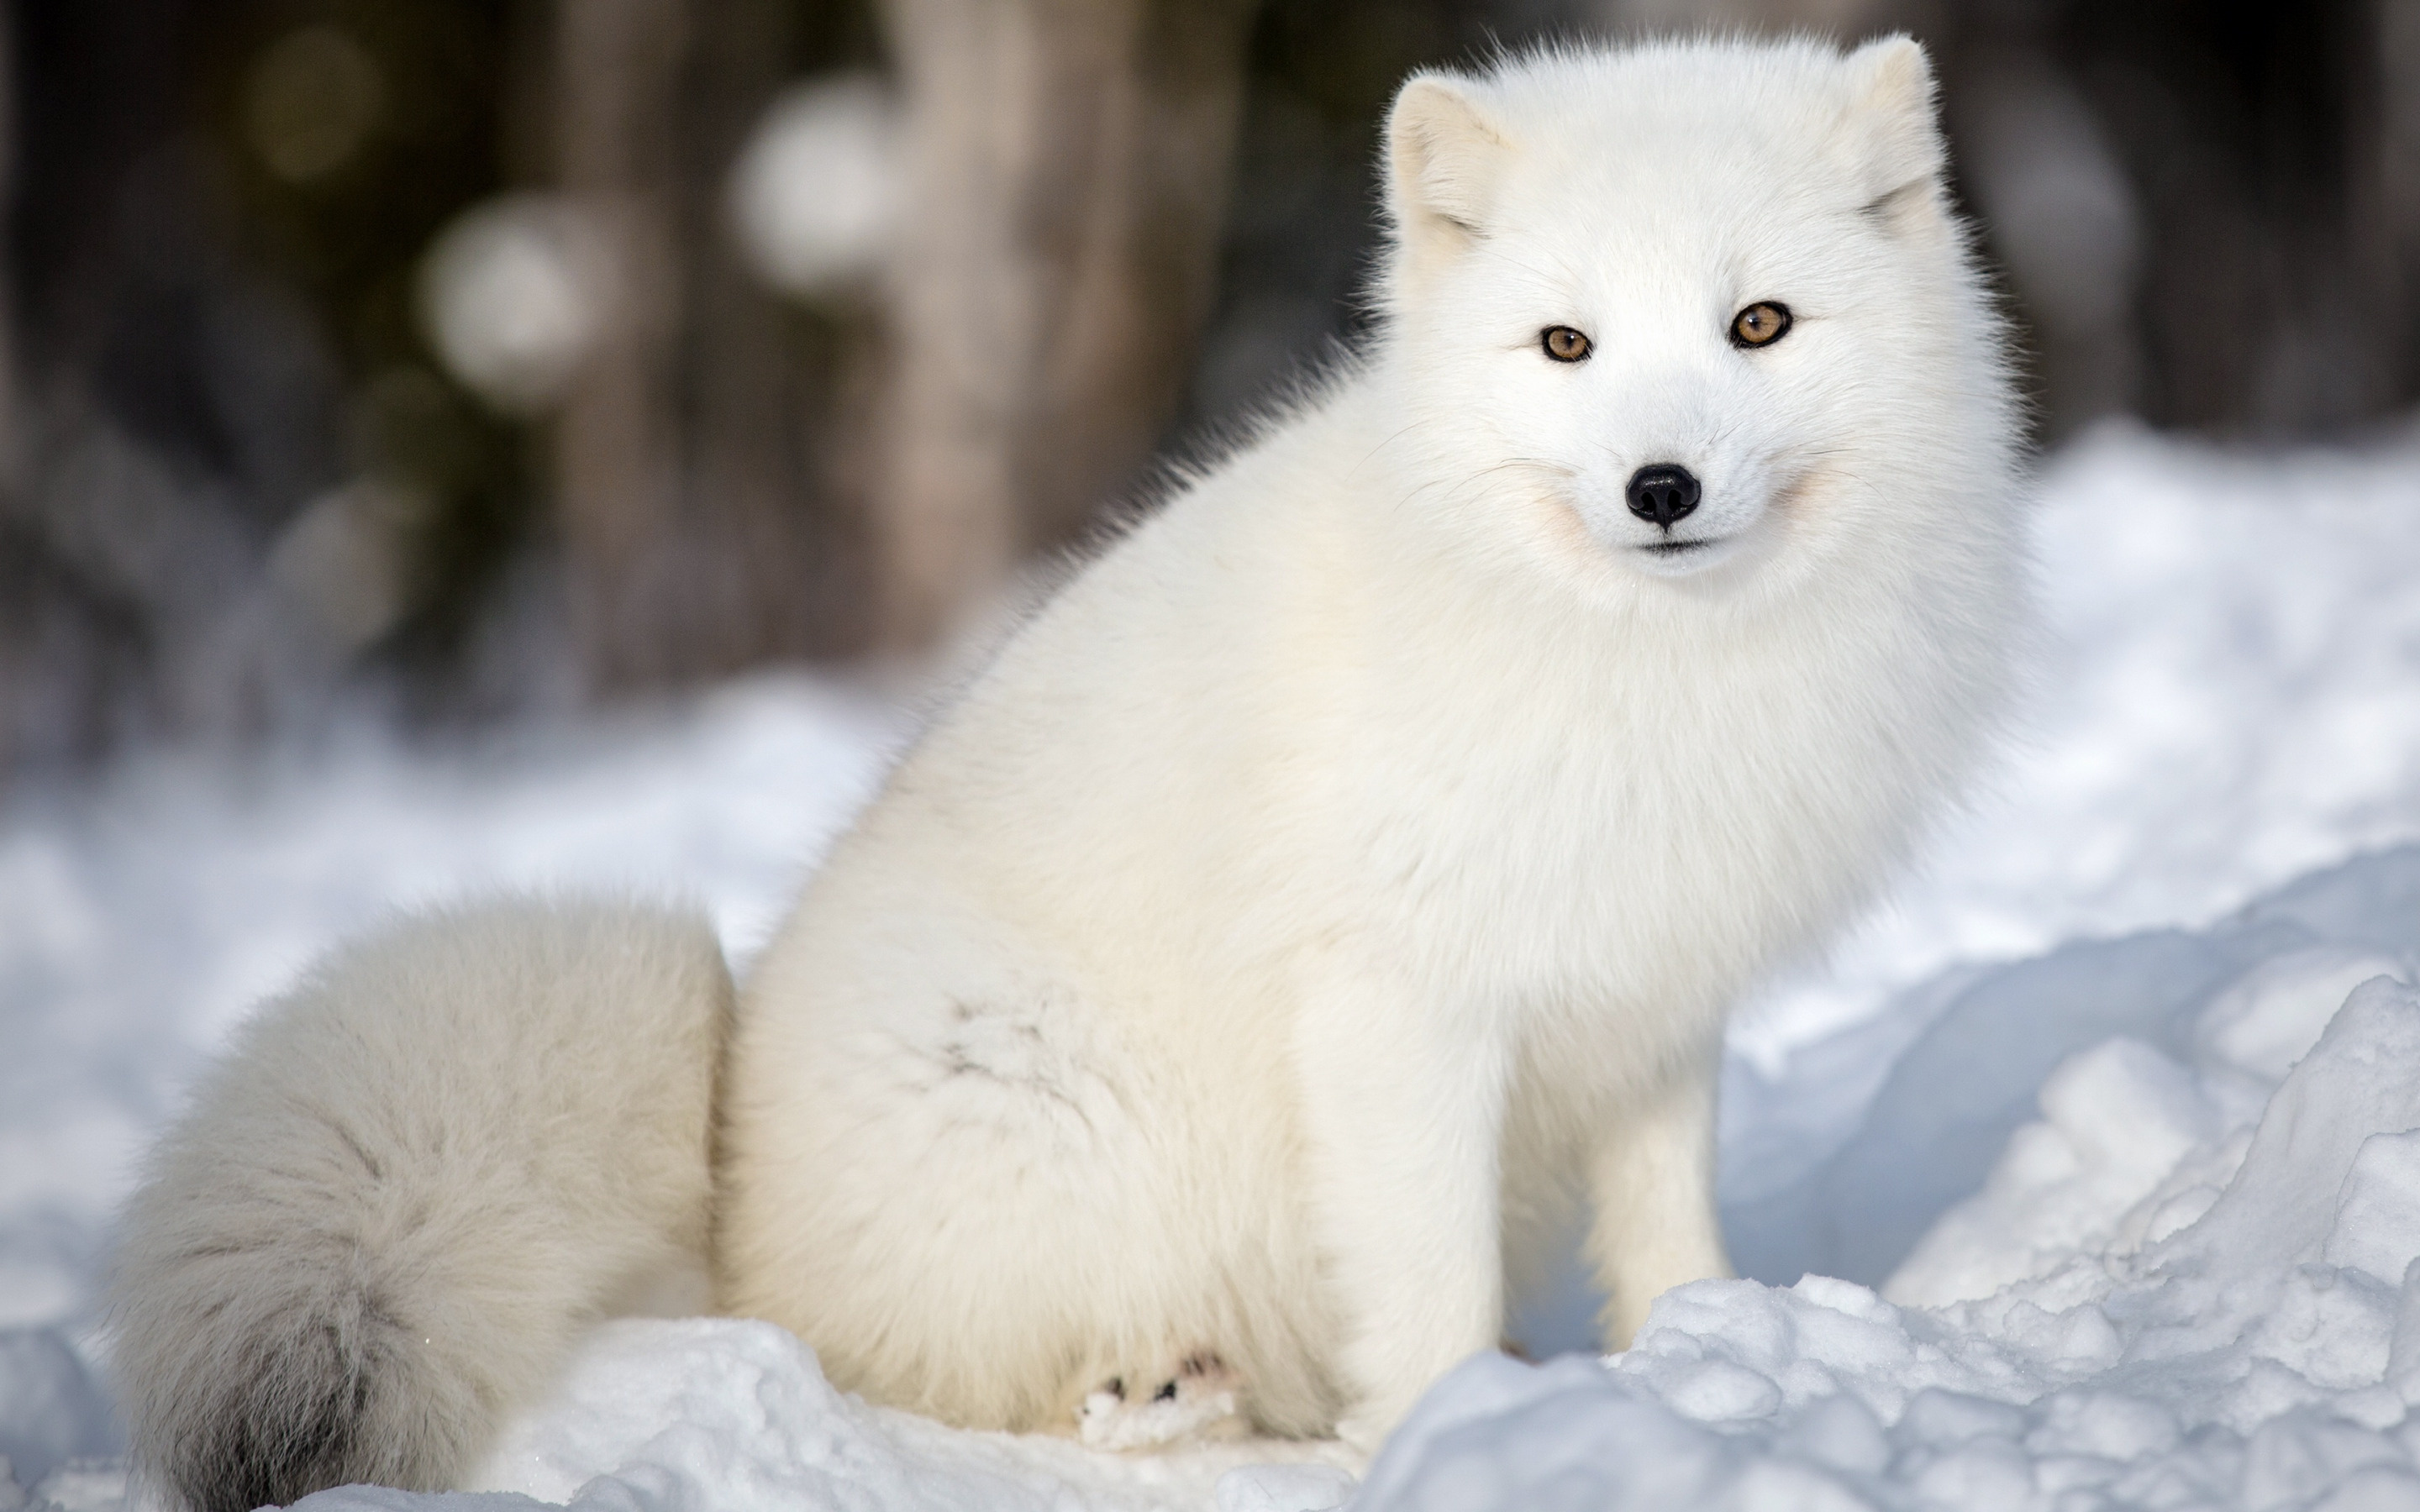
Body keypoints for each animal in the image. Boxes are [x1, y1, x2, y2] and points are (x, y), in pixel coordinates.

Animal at [108, 32, 2023, 1509]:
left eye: (1760, 325)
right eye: (1567, 346)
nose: (1660, 488)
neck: (1644, 665)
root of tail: (724, 1193)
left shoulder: (1652, 1001)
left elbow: (1670, 1228)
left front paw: (1698, 1363)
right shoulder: (1397, 1010)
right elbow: (1421, 1278)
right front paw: (1456, 1431)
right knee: (962, 1386)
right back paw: (1172, 1402)